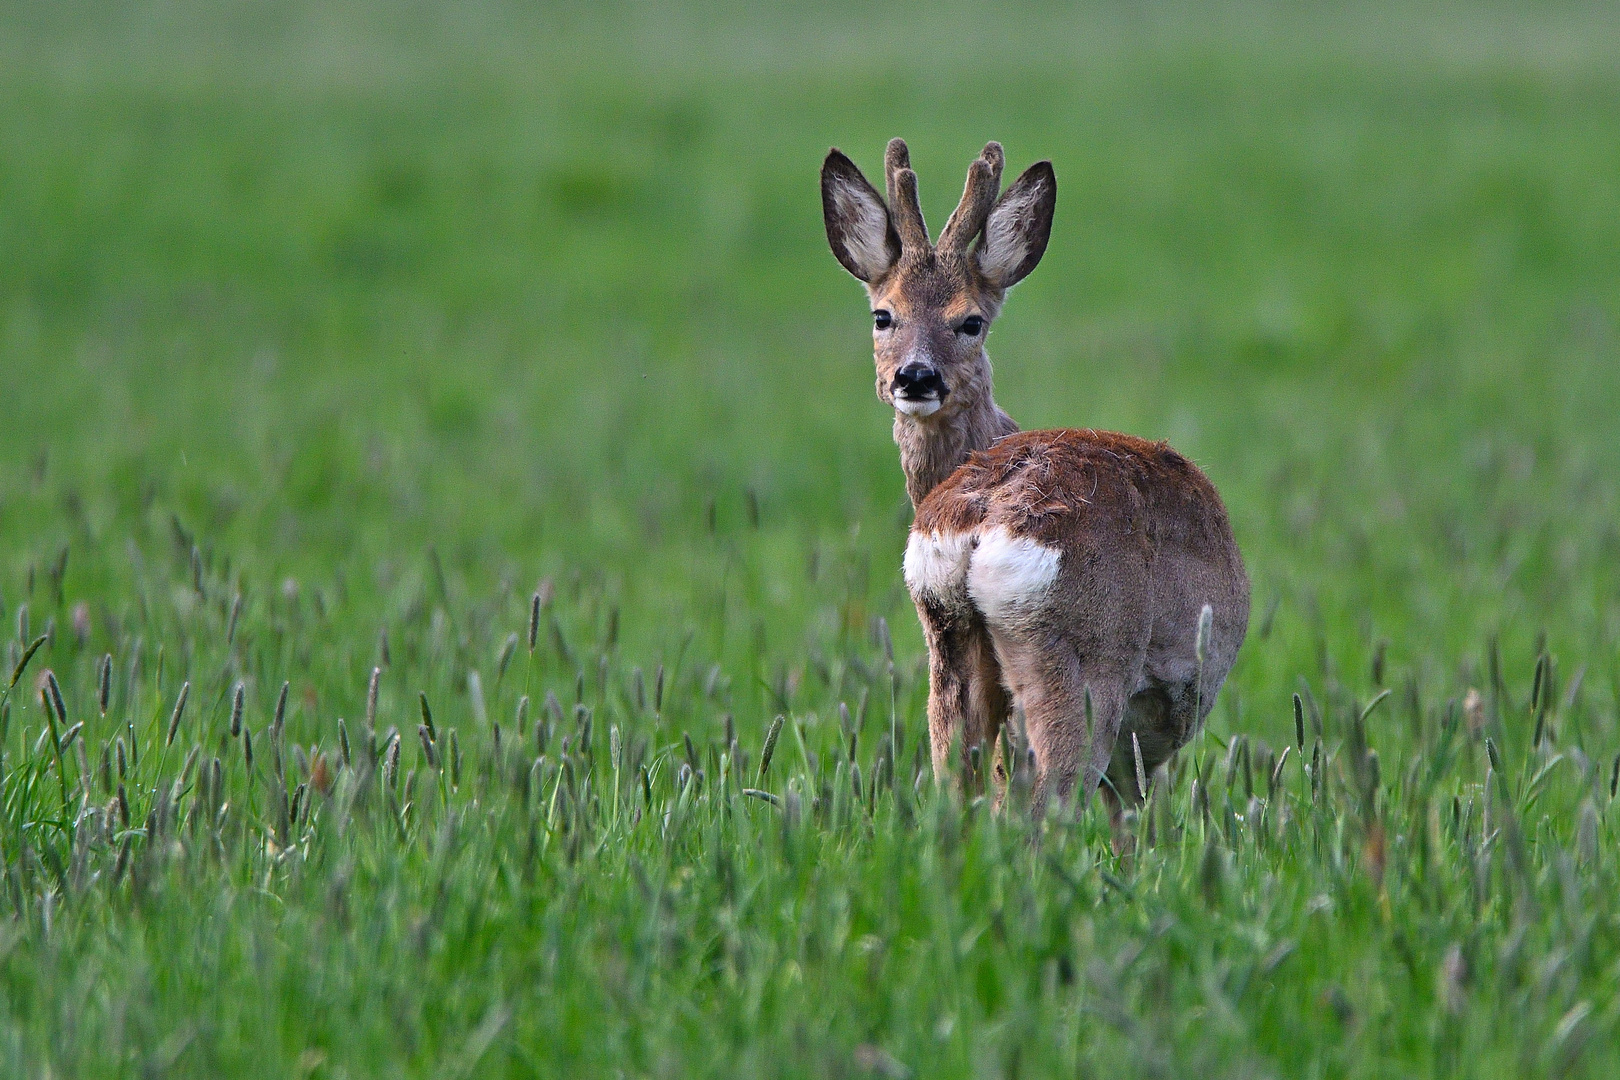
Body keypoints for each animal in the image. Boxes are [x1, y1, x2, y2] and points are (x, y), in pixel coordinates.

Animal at [822, 141, 1250, 819]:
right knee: (1047, 804)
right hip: (1079, 659)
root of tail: (985, 518)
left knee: (957, 791)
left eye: (970, 321)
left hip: (948, 642)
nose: (915, 376)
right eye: (882, 316)